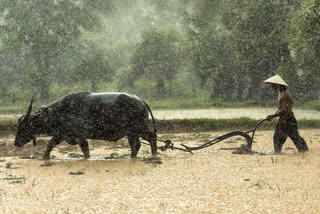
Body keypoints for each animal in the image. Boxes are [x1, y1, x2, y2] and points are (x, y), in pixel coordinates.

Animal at [15, 91, 158, 159]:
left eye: (24, 127)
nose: (16, 143)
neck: (59, 113)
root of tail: (141, 101)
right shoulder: (62, 135)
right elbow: (50, 144)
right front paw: (44, 158)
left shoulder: (80, 136)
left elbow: (85, 151)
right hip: (131, 133)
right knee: (136, 145)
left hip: (139, 128)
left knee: (152, 137)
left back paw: (154, 154)